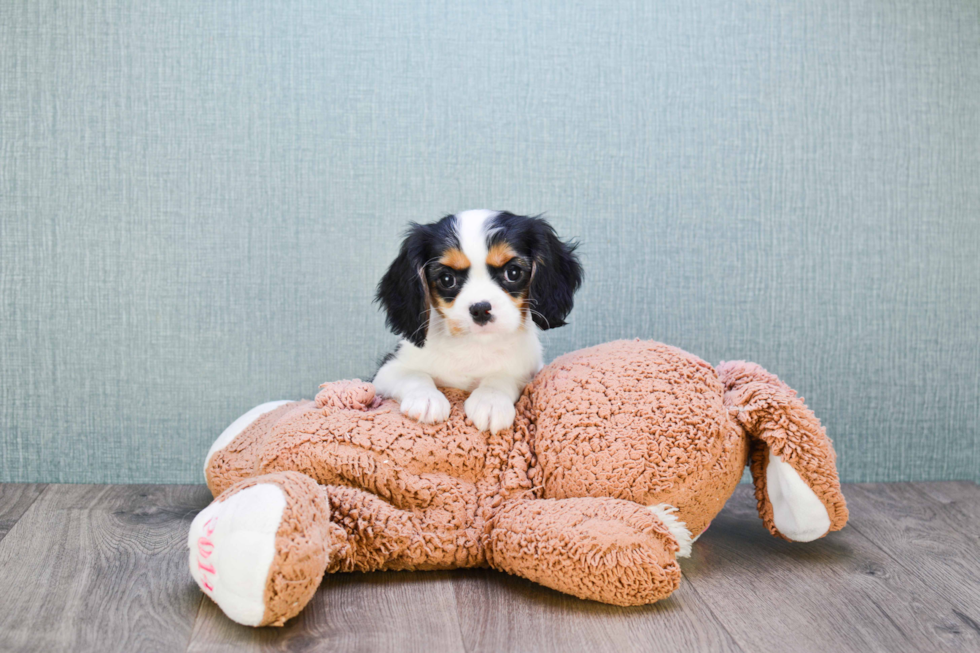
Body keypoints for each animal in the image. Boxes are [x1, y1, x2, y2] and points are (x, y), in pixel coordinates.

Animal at [372, 210, 580, 432]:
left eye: (513, 272)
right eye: (447, 279)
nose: (480, 309)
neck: (475, 344)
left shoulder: (528, 371)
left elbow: (502, 377)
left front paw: (491, 401)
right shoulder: (387, 370)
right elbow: (414, 376)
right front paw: (426, 398)